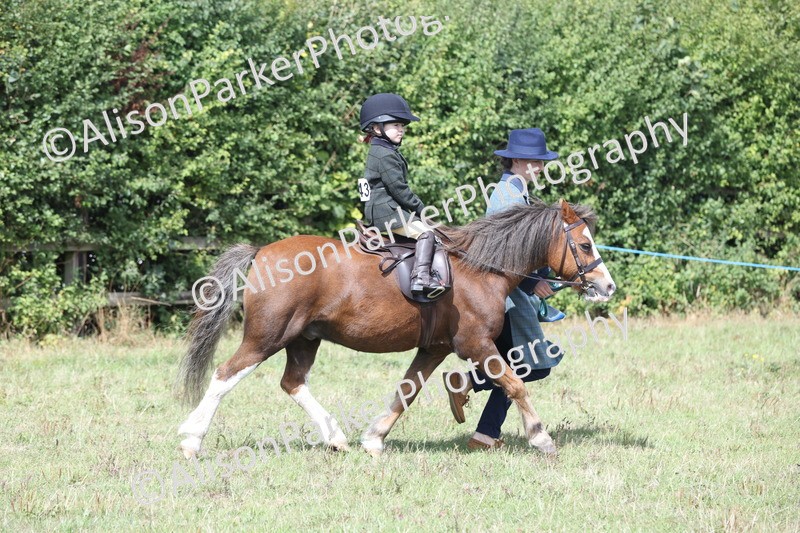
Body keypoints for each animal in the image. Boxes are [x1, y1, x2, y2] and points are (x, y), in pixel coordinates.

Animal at [176, 199, 616, 459]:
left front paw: (374, 438)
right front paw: (541, 437)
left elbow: (407, 390)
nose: (608, 286)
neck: (481, 268)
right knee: (225, 376)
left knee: (292, 383)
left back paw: (335, 437)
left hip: (304, 338)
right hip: (266, 336)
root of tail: (262, 252)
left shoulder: (435, 347)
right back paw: (192, 440)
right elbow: (515, 384)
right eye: (586, 245)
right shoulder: (476, 344)